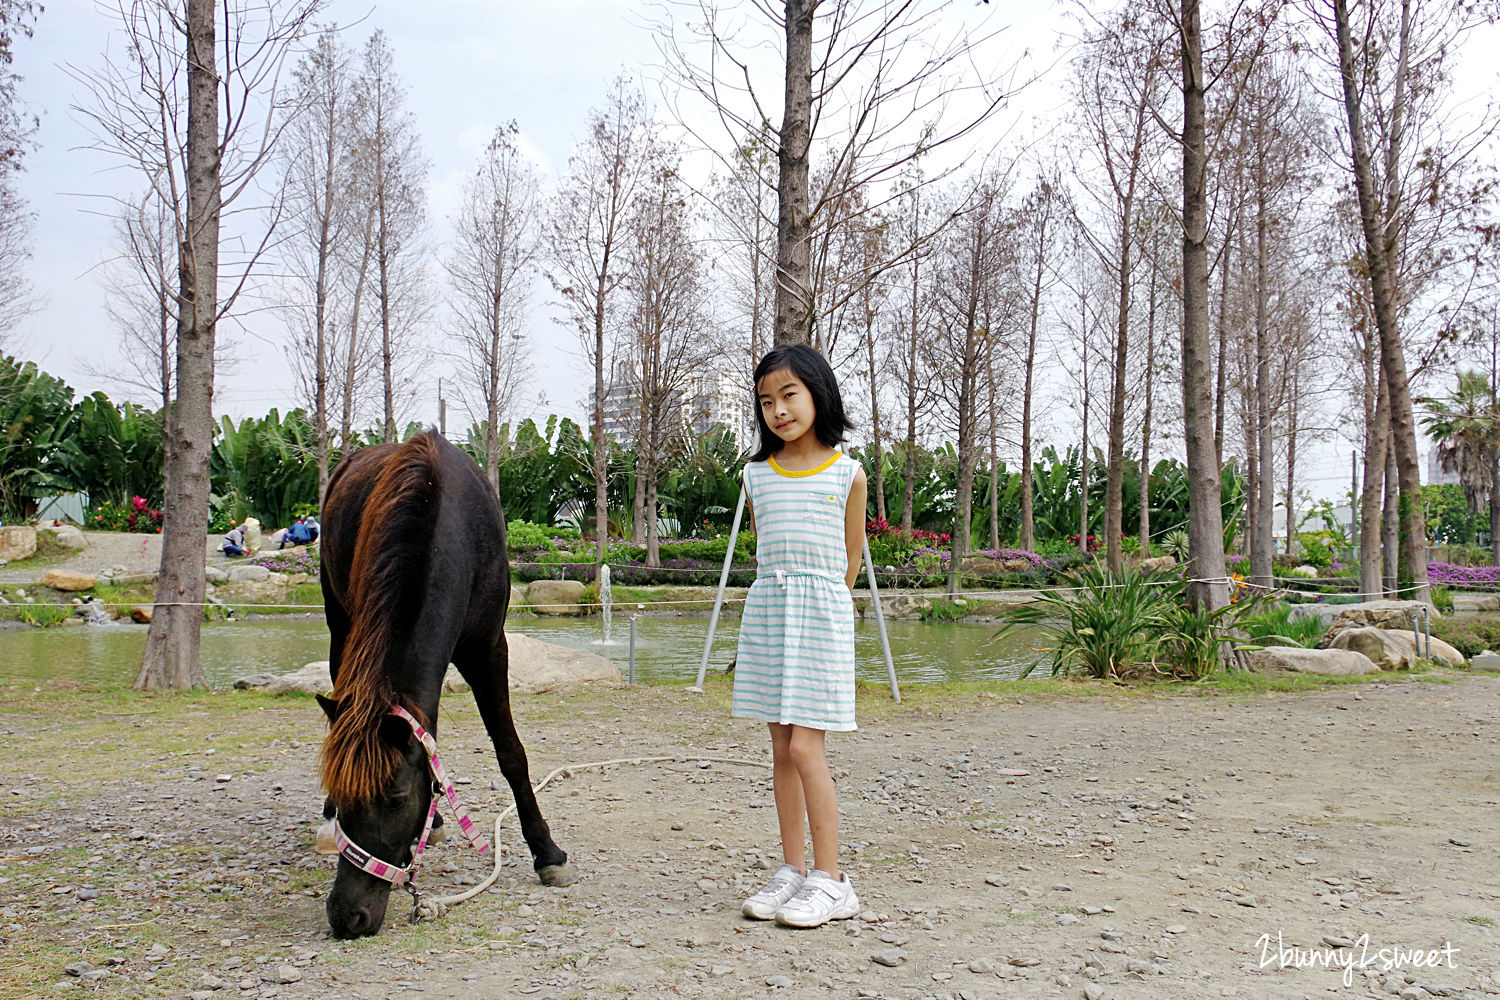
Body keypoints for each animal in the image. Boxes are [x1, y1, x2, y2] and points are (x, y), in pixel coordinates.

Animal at [316, 431, 573, 941]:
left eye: (395, 799)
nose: (346, 916)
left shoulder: (489, 648)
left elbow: (510, 753)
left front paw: (547, 852)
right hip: (339, 623)